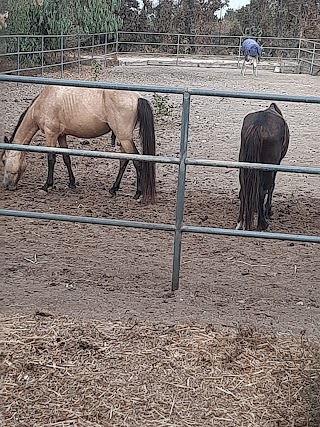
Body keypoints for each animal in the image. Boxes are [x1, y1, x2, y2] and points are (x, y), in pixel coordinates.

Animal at [1, 86, 157, 205]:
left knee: (137, 162)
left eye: (3, 160)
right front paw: (72, 183)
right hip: (123, 138)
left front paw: (46, 186)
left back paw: (137, 194)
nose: (6, 186)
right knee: (123, 161)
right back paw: (113, 189)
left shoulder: (51, 134)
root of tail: (137, 97)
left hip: (125, 138)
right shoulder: (61, 136)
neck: (45, 101)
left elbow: (51, 159)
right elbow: (66, 158)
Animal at [235, 103, 290, 231]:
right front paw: (268, 210)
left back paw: (240, 223)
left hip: (244, 166)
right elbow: (271, 186)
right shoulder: (276, 164)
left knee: (244, 189)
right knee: (262, 190)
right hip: (268, 168)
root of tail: (258, 127)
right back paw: (262, 223)